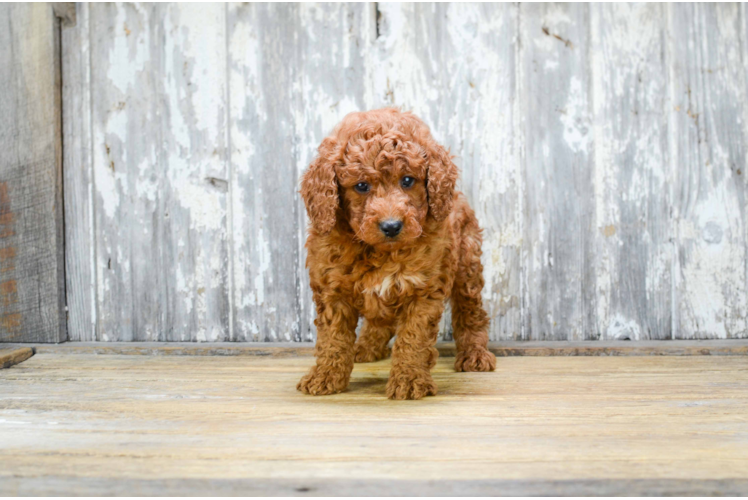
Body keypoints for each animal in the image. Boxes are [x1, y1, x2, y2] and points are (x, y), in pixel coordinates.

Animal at [298, 107, 496, 400]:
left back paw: (474, 354)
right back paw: (366, 347)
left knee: (471, 312)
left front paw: (410, 379)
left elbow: (413, 338)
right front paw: (325, 376)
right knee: (380, 320)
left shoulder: (423, 290)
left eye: (407, 180)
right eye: (361, 186)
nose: (391, 226)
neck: (381, 252)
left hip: (467, 265)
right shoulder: (332, 289)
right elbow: (333, 338)